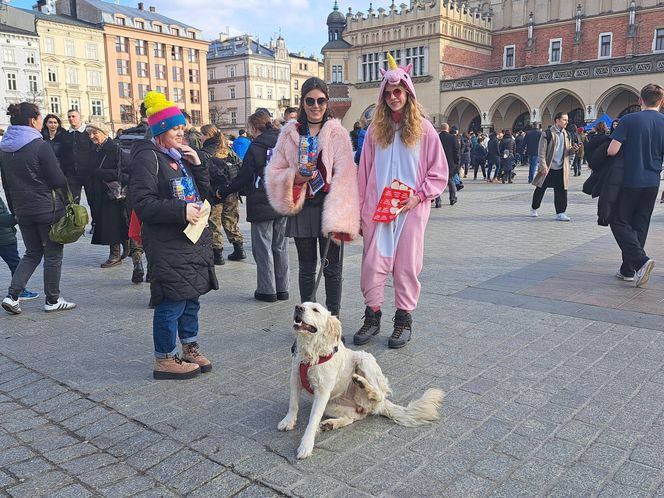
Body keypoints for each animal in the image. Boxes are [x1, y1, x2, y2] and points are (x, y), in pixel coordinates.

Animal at [278, 300, 444, 460]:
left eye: (315, 310)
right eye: (302, 305)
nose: (298, 308)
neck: (311, 352)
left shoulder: (323, 392)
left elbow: (312, 420)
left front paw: (306, 445)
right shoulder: (295, 378)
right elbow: (293, 404)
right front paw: (288, 421)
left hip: (365, 358)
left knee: (379, 394)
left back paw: (362, 383)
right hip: (332, 405)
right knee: (354, 417)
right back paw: (331, 424)